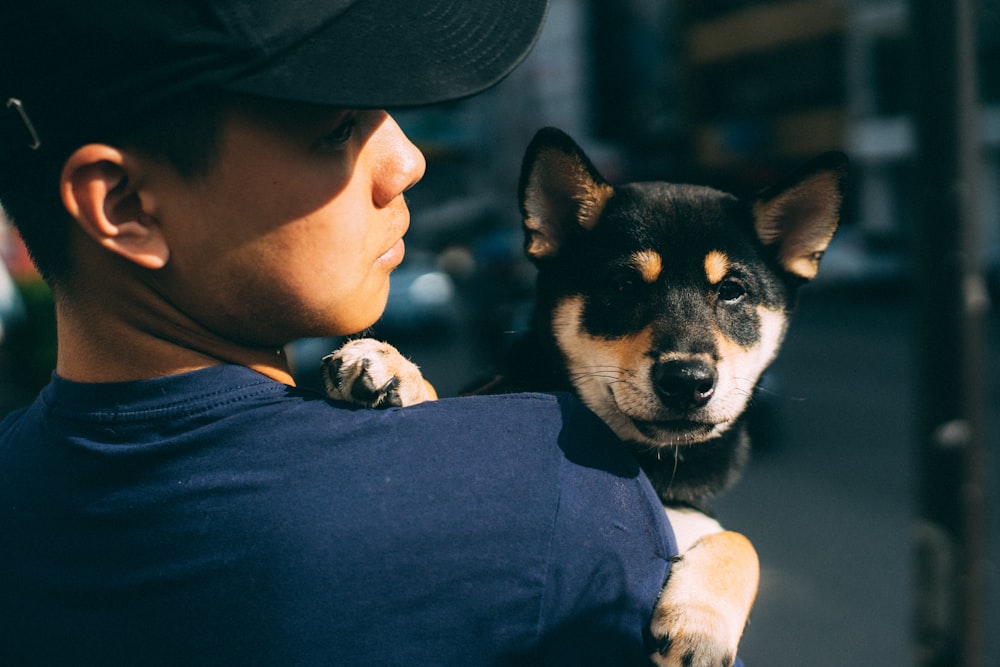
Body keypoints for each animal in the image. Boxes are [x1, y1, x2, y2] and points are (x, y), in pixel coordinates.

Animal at [324, 126, 848, 667]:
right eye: (622, 285)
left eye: (732, 291)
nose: (687, 379)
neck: (649, 462)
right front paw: (395, 370)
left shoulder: (692, 514)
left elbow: (740, 541)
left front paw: (702, 625)